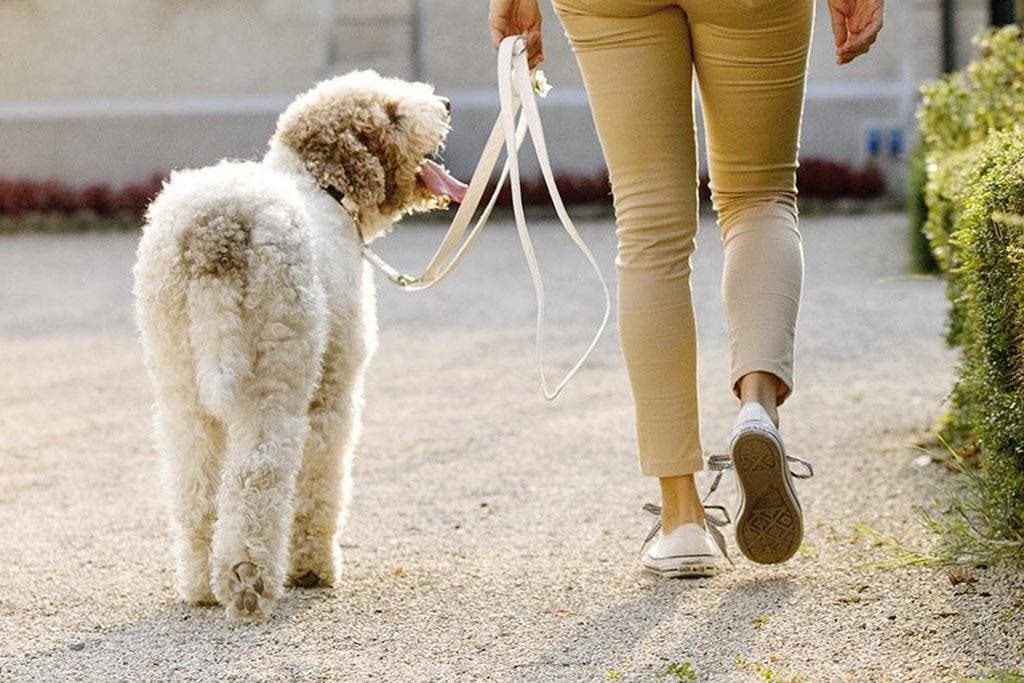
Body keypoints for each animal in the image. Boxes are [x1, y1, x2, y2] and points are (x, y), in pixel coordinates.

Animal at [132, 70, 464, 618]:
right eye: (392, 113)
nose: (447, 104)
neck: (323, 190)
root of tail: (216, 234)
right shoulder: (333, 391)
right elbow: (320, 479)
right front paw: (311, 568)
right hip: (275, 374)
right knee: (258, 472)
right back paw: (247, 579)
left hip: (179, 375)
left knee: (195, 483)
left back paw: (202, 585)